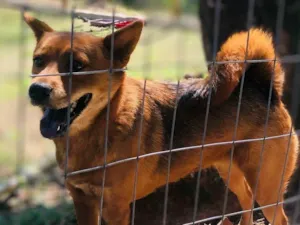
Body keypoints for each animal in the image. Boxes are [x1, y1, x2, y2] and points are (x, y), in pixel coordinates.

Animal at [24, 13, 298, 225]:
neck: (103, 126)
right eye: (38, 60)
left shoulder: (115, 208)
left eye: (78, 66)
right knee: (247, 199)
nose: (37, 90)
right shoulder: (83, 202)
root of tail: (263, 87)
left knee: (278, 216)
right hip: (231, 172)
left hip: (266, 186)